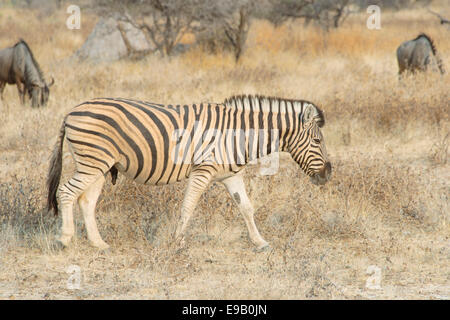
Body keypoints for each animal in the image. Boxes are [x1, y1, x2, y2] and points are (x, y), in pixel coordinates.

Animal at [47, 95, 330, 250]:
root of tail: (71, 111)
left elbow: (246, 208)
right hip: (92, 162)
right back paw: (64, 238)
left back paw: (99, 244)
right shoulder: (202, 169)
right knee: (66, 192)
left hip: (99, 165)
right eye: (317, 141)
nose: (328, 175)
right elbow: (188, 206)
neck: (239, 135)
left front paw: (260, 242)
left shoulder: (231, 175)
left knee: (86, 201)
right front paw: (177, 241)